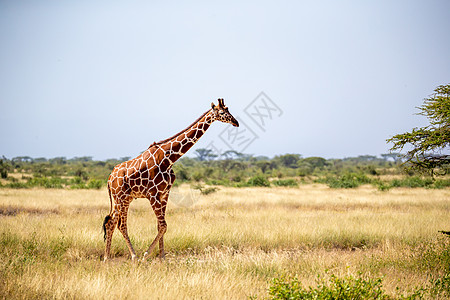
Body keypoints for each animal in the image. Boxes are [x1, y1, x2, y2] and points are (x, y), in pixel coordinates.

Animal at [103, 98, 239, 260]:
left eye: (229, 109)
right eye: (223, 112)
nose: (236, 122)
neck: (169, 158)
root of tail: (109, 178)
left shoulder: (165, 193)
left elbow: (160, 226)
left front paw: (162, 257)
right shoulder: (153, 194)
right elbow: (163, 225)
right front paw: (146, 255)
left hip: (124, 199)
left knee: (114, 223)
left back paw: (113, 257)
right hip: (120, 197)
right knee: (117, 224)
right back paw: (126, 257)